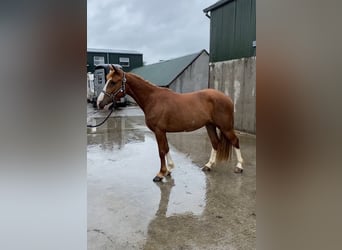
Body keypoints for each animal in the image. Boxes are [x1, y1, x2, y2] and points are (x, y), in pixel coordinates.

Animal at [97, 64, 244, 182]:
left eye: (113, 82)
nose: (99, 103)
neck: (153, 99)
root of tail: (227, 98)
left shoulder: (159, 131)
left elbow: (161, 151)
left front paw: (161, 174)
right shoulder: (162, 131)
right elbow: (166, 148)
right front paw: (169, 170)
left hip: (225, 127)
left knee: (235, 141)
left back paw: (239, 167)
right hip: (210, 125)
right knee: (215, 143)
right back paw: (208, 165)